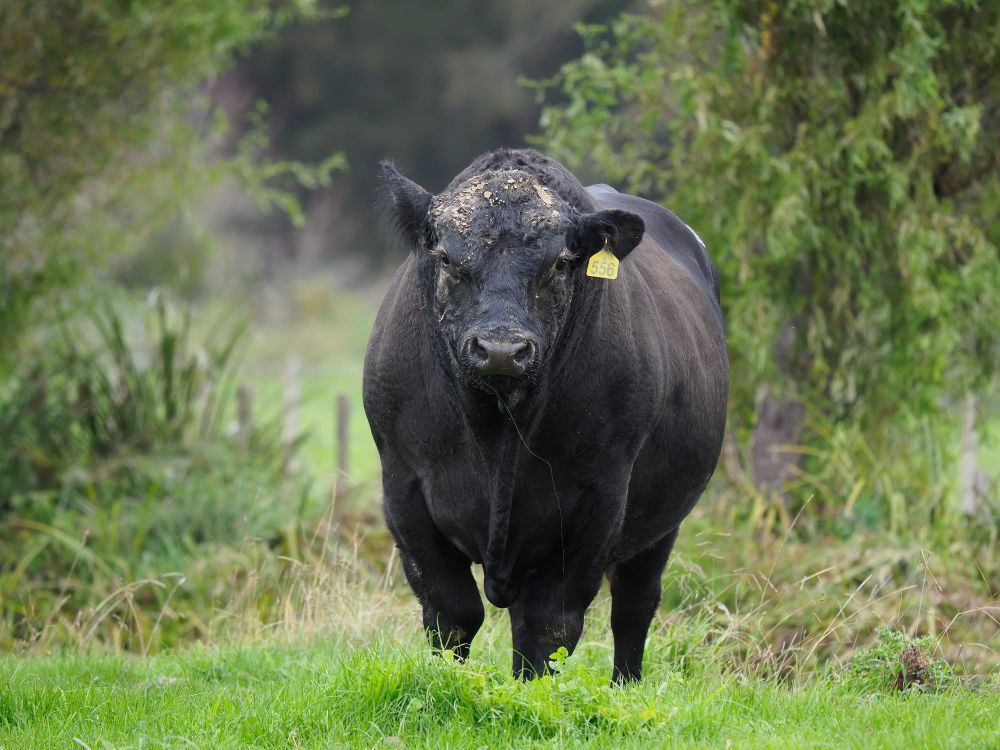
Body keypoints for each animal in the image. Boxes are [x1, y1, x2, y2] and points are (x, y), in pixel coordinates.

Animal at [363, 148, 728, 683]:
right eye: (447, 258)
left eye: (559, 263)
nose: (500, 349)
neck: (496, 434)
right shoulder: (404, 486)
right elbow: (451, 612)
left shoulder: (598, 499)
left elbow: (550, 625)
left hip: (660, 524)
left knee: (634, 606)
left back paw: (625, 686)